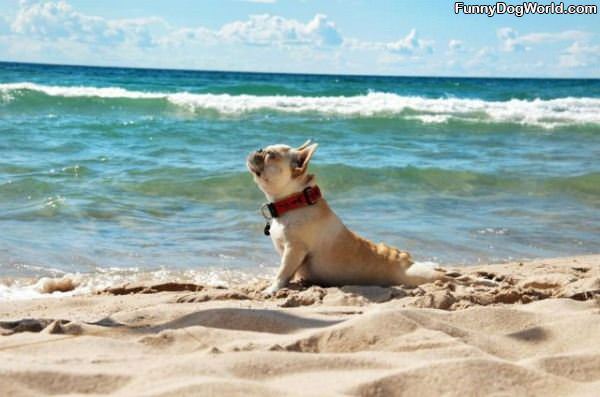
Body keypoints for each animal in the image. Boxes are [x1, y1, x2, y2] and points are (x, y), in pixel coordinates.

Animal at [245, 139, 446, 294]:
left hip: (417, 276)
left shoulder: (294, 250)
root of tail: (406, 261)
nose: (258, 149)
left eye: (271, 155)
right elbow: (287, 272)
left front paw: (271, 289)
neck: (295, 200)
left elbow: (282, 272)